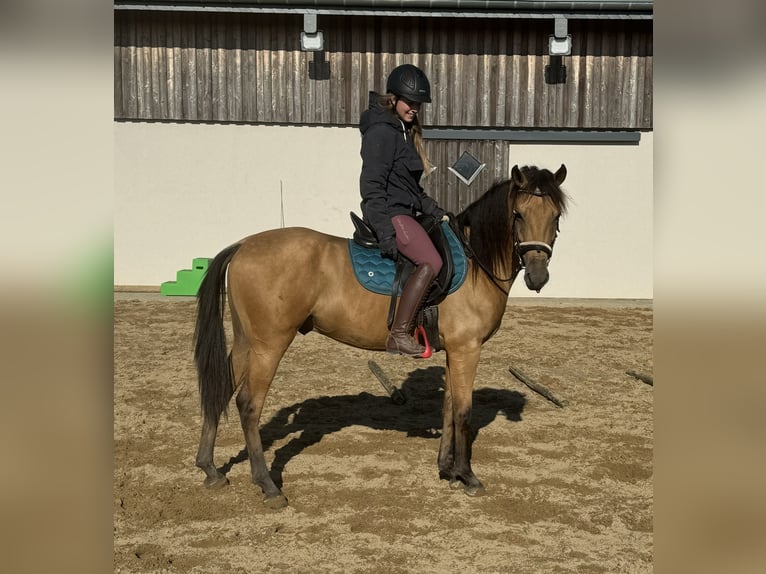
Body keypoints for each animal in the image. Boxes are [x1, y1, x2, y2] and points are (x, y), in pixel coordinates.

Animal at [195, 162, 568, 508]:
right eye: (518, 214)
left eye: (555, 216)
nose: (538, 276)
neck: (475, 261)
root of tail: (243, 245)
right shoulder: (467, 349)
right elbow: (463, 411)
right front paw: (467, 475)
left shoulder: (454, 351)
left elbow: (448, 406)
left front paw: (447, 470)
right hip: (269, 344)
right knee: (249, 405)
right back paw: (268, 486)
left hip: (247, 342)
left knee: (222, 388)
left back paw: (210, 469)